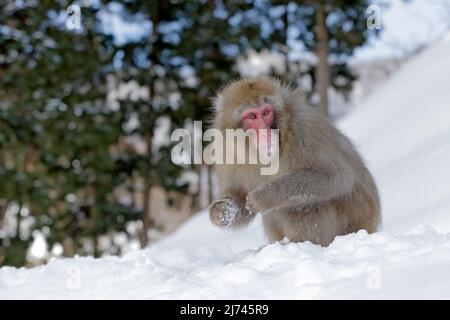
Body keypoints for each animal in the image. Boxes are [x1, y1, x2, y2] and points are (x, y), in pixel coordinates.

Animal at [207, 77, 380, 245]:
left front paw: (265, 196)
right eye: (252, 116)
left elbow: (335, 176)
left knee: (304, 205)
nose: (265, 132)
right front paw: (221, 211)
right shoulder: (225, 148)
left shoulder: (304, 128)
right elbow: (239, 195)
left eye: (266, 112)